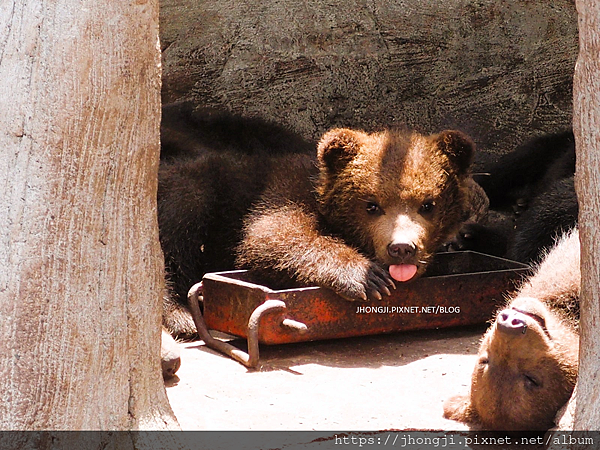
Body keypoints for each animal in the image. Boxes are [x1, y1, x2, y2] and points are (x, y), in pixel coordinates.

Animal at [159, 105, 478, 336]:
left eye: (428, 204)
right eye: (372, 205)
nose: (401, 248)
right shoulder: (285, 190)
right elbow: (272, 233)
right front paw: (367, 277)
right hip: (194, 187)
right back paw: (183, 315)